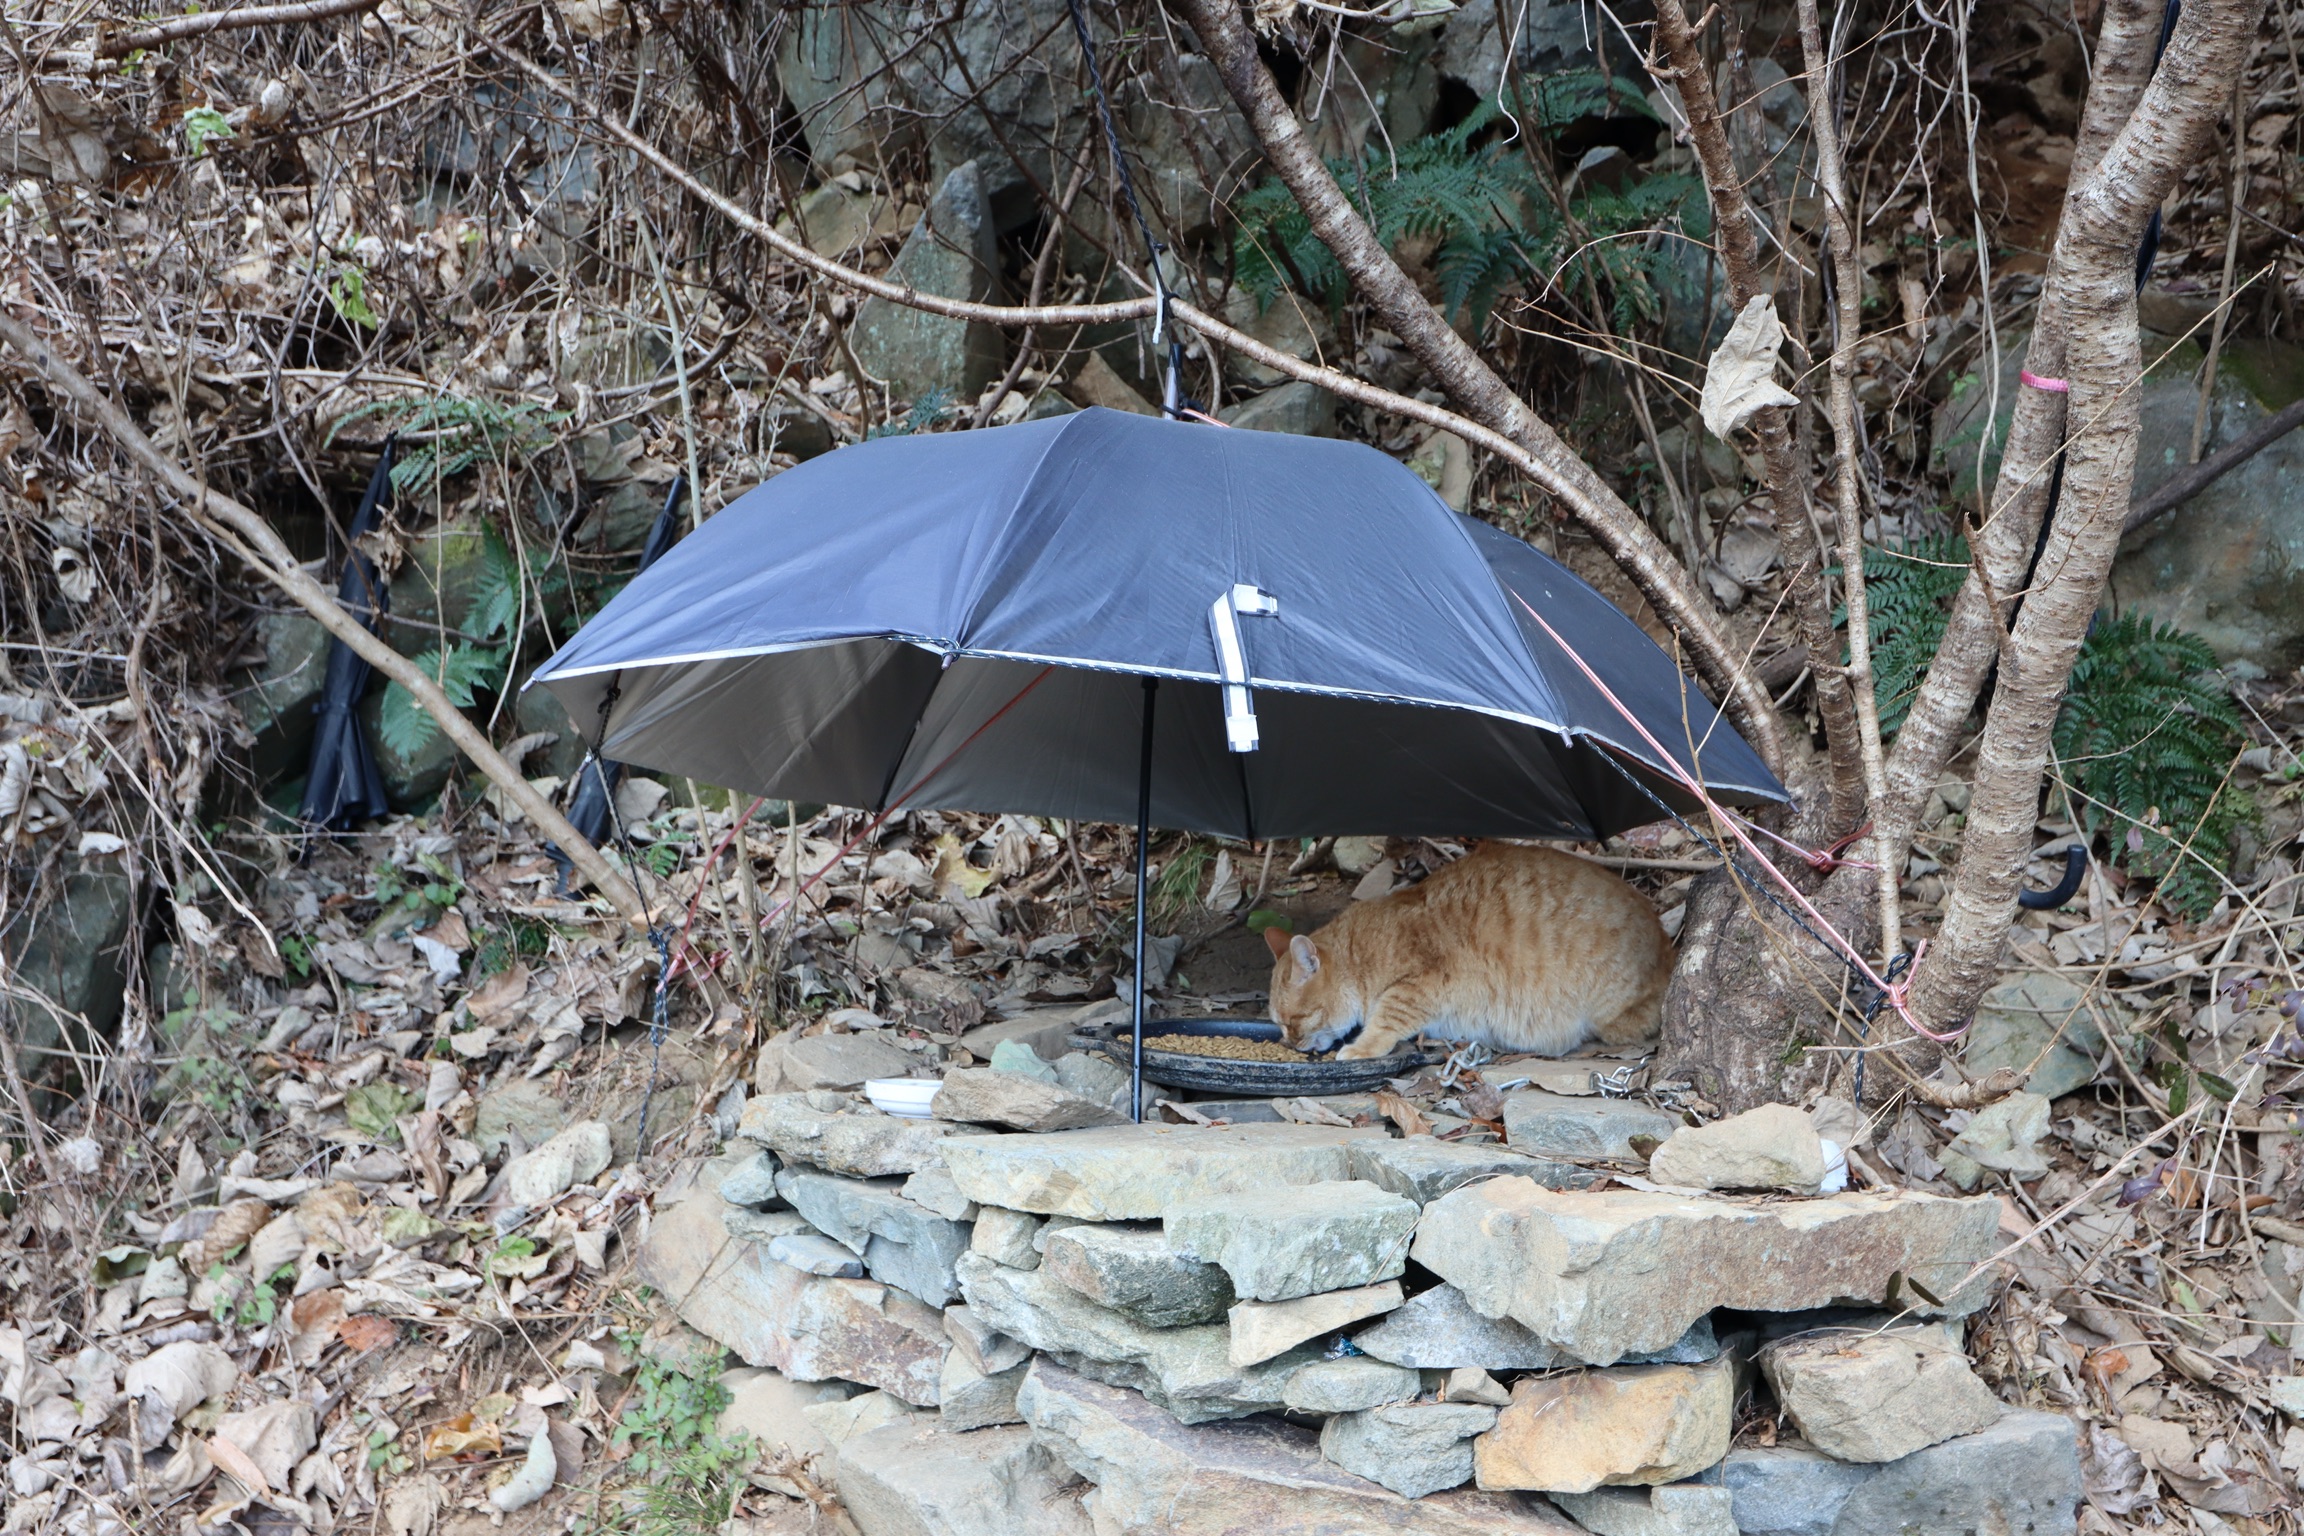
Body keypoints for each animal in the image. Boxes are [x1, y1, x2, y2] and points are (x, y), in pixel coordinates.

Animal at [1264, 841, 1671, 1060]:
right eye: (1279, 1024)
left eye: (1294, 1019)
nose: (1290, 1043)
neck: (1360, 953)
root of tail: (1666, 943)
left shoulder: (1420, 983)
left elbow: (1386, 1019)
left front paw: (1362, 1047)